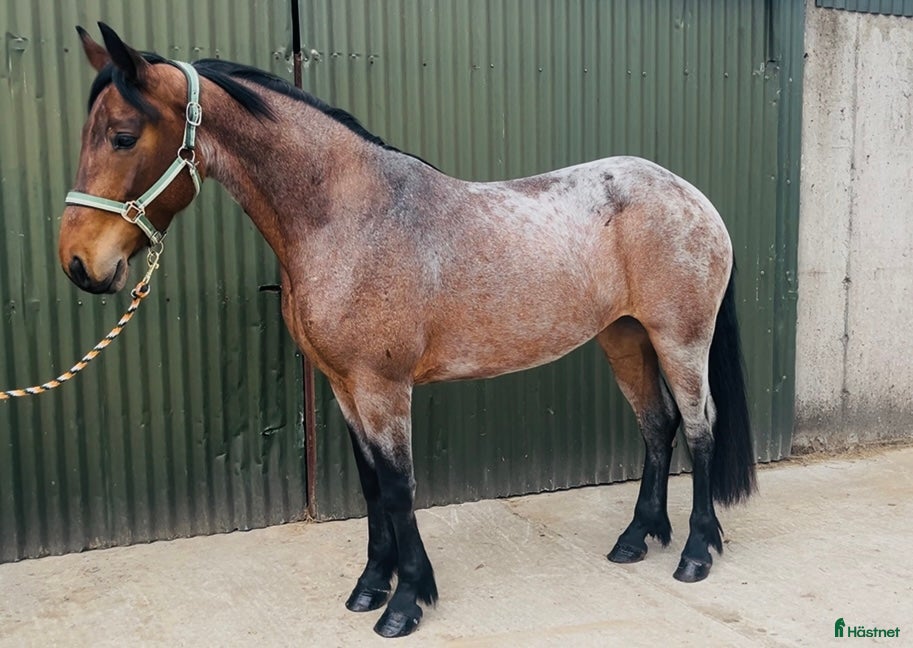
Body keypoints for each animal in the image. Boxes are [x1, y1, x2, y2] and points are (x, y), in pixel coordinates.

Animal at [58, 23, 756, 638]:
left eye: (122, 137)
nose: (79, 265)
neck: (347, 218)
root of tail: (692, 198)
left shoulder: (383, 388)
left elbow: (398, 488)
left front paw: (407, 602)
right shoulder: (344, 386)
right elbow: (371, 487)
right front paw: (371, 586)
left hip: (679, 339)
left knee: (699, 427)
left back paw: (696, 553)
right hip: (625, 337)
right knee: (657, 427)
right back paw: (637, 538)